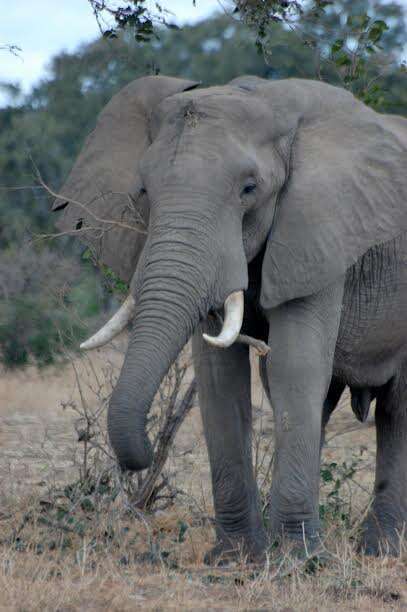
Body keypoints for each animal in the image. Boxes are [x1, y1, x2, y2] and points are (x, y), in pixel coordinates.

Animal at [52, 74, 406, 560]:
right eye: (143, 192)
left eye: (249, 189)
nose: (144, 455)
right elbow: (220, 376)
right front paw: (236, 559)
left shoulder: (319, 230)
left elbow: (295, 363)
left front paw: (298, 562)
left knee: (398, 407)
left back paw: (379, 549)